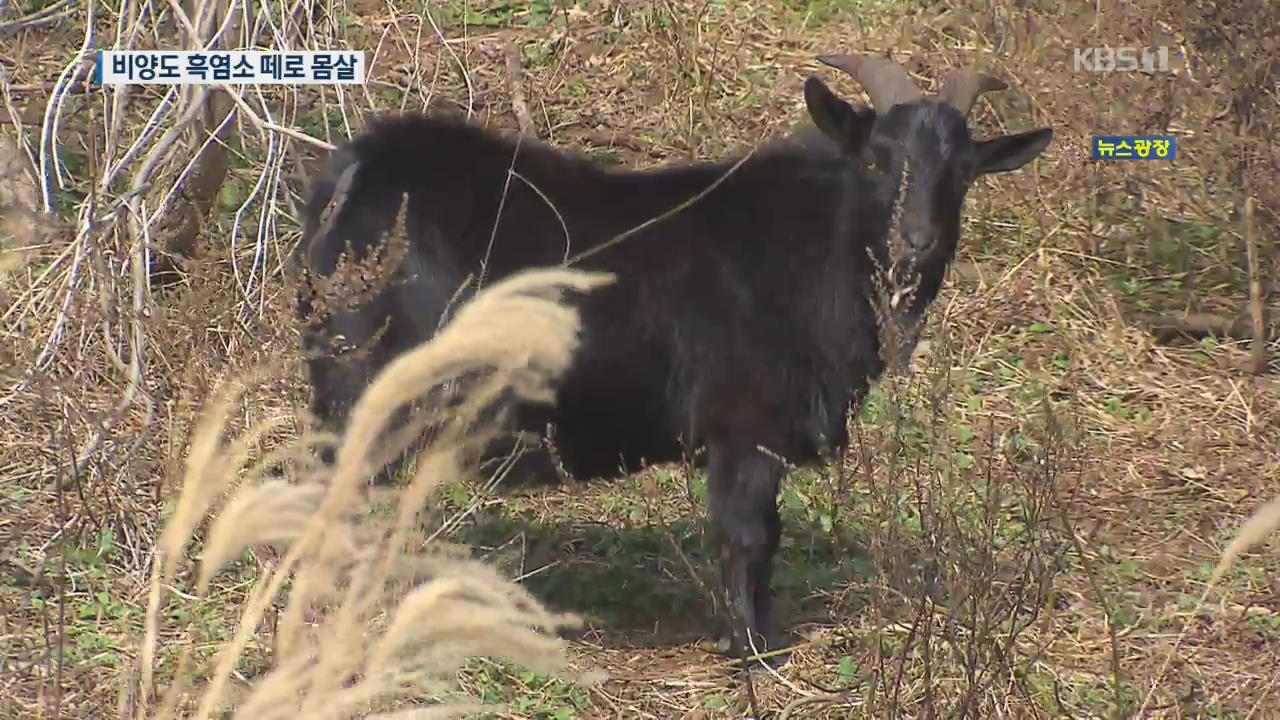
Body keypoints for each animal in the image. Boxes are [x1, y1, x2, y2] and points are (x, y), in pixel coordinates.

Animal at [294, 54, 1054, 661]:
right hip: (369, 380)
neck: (815, 252)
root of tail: (353, 172)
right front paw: (755, 649)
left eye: (963, 172)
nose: (917, 242)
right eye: (876, 158)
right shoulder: (744, 426)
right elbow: (751, 534)